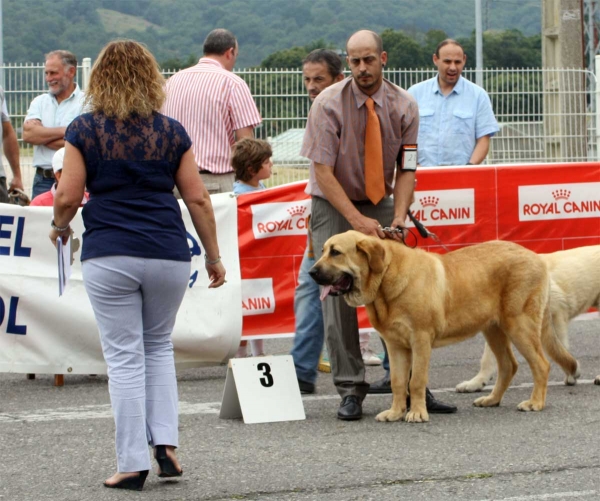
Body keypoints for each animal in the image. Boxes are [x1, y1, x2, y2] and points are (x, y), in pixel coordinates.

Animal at [312, 231, 580, 422]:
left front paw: (417, 413)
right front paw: (396, 412)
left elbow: (416, 381)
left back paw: (535, 403)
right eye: (323, 250)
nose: (312, 272)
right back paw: (491, 399)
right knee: (508, 366)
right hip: (494, 329)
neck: (385, 279)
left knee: (541, 364)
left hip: (520, 325)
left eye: (335, 252)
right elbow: (398, 381)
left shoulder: (420, 340)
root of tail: (538, 258)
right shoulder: (396, 346)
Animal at [458, 244, 596, 392]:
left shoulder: (556, 315)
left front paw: (571, 373)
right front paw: (476, 382)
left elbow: (559, 347)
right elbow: (488, 357)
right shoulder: (503, 324)